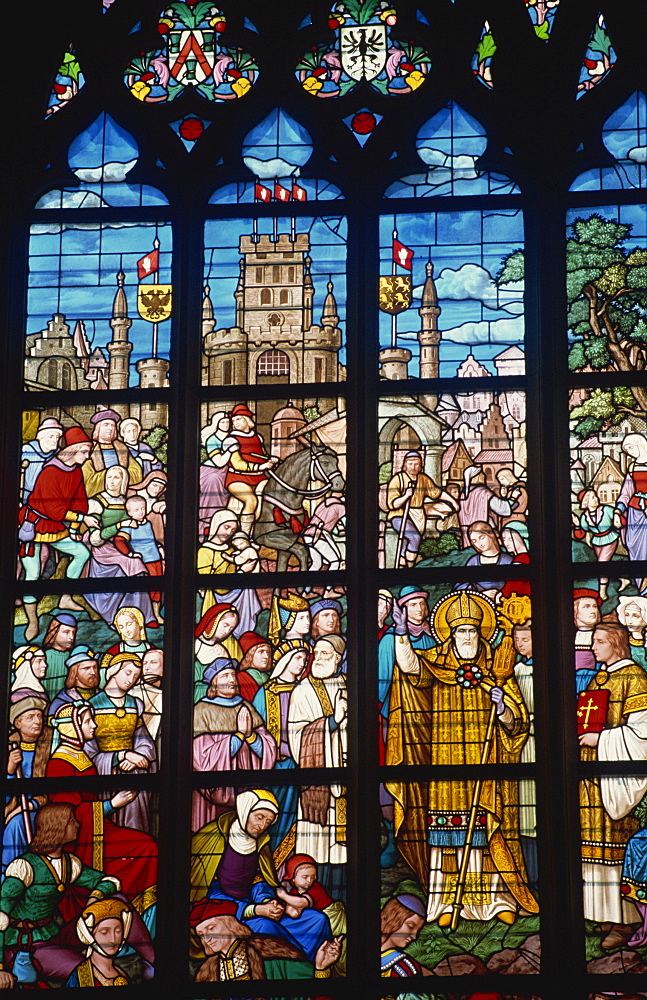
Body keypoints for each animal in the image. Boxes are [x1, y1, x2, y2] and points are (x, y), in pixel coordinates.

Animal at [254, 444, 346, 576]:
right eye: (325, 462)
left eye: (336, 461)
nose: (340, 484)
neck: (286, 499)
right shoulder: (267, 538)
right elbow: (302, 550)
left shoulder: (286, 545)